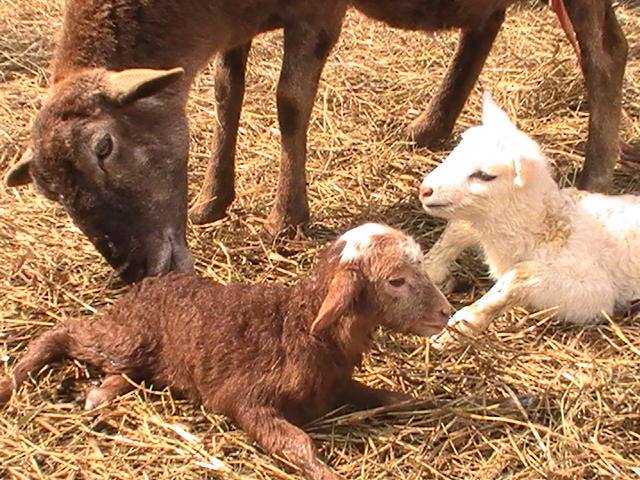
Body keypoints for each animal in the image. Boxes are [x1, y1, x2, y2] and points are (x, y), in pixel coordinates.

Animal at [0, 224, 450, 480]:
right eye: (395, 281)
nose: (446, 312)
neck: (300, 326)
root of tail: (147, 285)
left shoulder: (338, 386)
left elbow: (391, 398)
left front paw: (428, 403)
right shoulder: (246, 400)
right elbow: (297, 443)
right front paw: (328, 474)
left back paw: (100, 393)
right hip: (127, 337)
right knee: (64, 331)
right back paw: (13, 380)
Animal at [1, 0, 632, 284]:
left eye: (105, 148)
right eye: (52, 194)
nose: (138, 272)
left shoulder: (315, 10)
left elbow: (288, 102)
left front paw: (287, 218)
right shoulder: (234, 24)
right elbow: (226, 93)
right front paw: (212, 200)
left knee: (606, 52)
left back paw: (597, 171)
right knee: (489, 21)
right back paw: (431, 125)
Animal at [418, 93, 640, 344]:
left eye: (485, 175)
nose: (425, 190)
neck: (544, 226)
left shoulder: (592, 292)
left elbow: (517, 277)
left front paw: (460, 327)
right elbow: (457, 230)